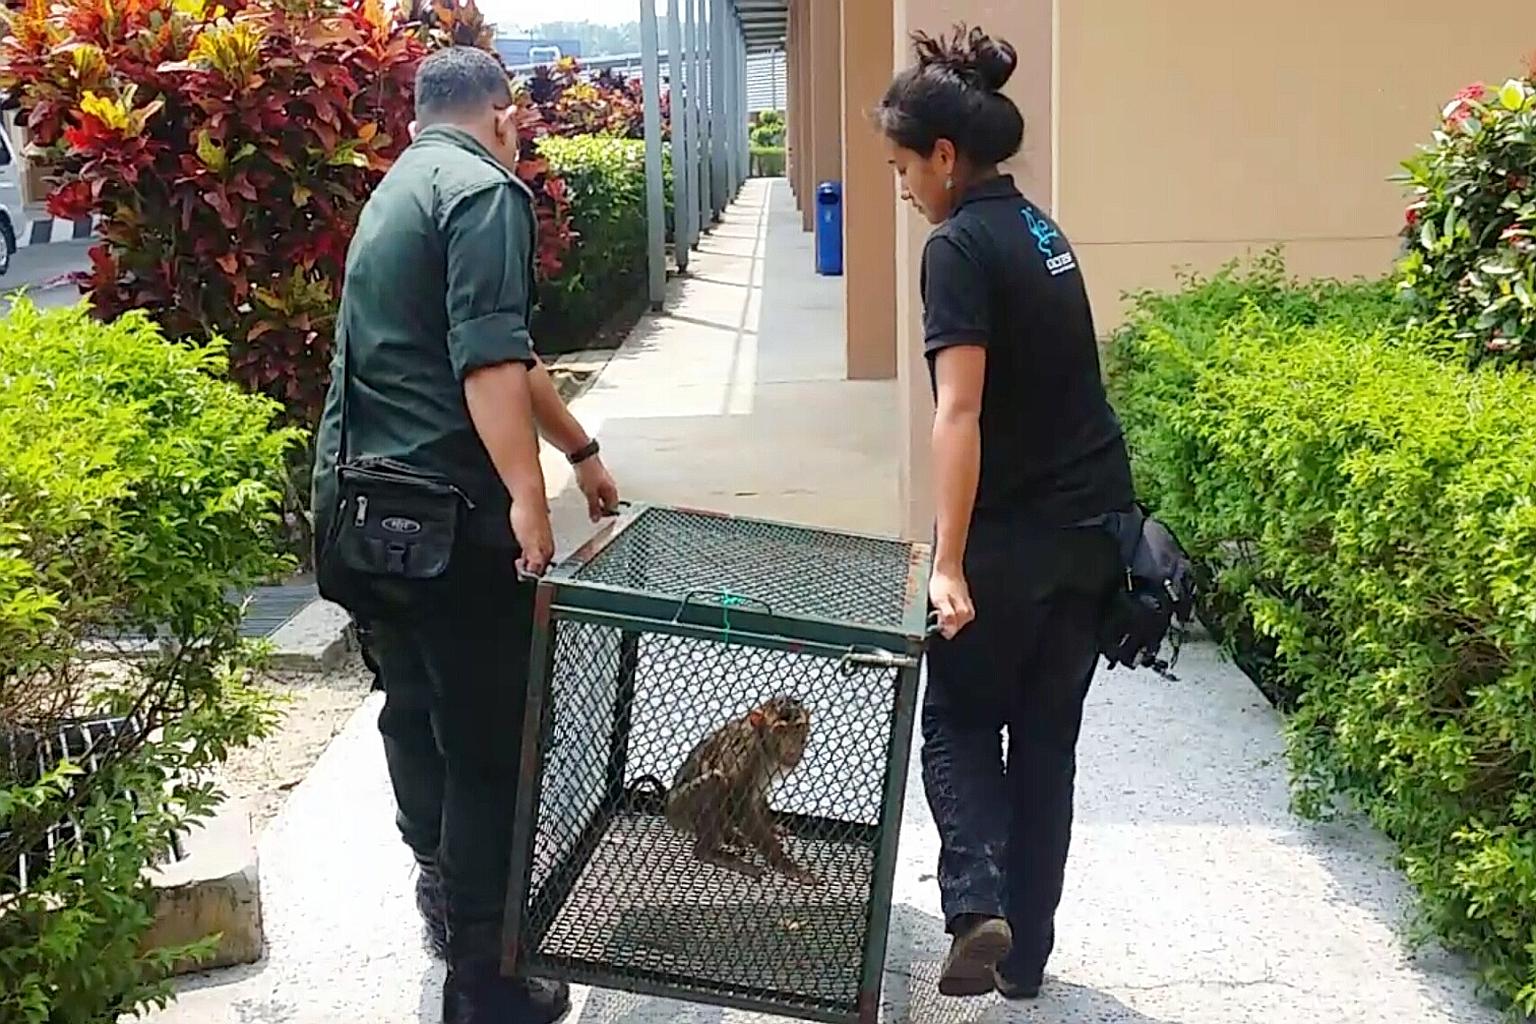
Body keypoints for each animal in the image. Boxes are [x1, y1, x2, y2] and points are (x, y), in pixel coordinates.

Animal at [664, 695, 819, 886]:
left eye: (798, 727)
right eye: (781, 730)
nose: (792, 746)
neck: (765, 747)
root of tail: (670, 812)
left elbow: (758, 798)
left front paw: (773, 827)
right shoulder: (747, 754)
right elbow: (741, 804)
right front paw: (785, 864)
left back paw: (730, 835)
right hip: (682, 807)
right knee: (716, 781)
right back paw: (709, 852)